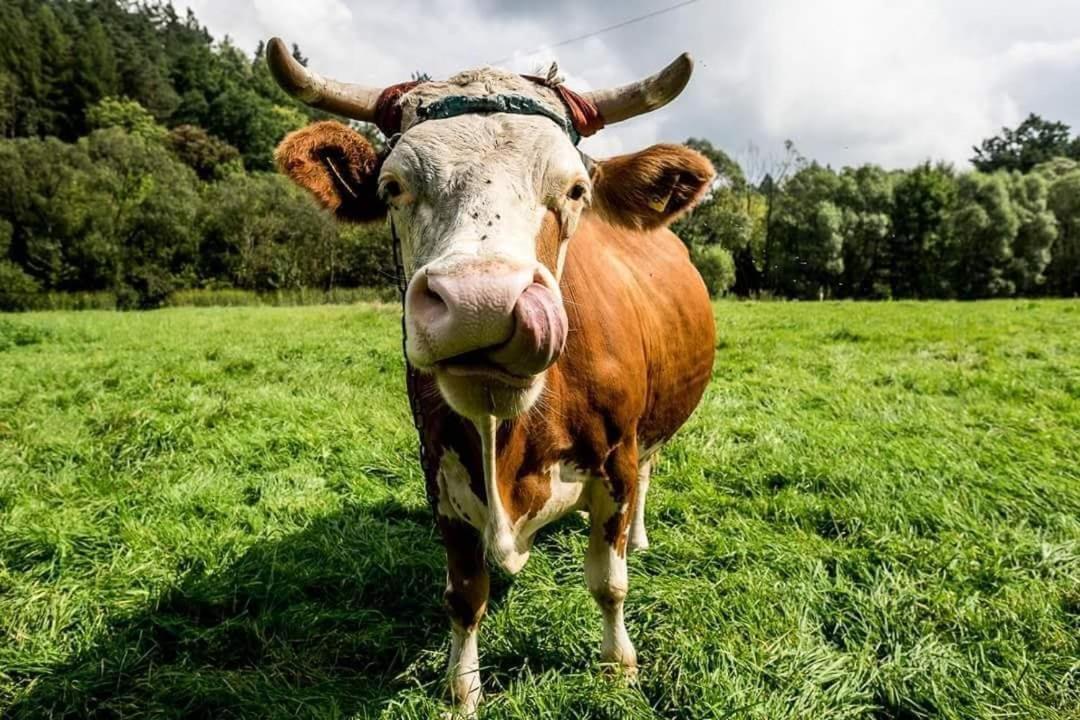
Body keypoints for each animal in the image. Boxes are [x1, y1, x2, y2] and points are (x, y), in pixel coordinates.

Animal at [265, 38, 712, 716]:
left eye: (575, 189)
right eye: (392, 186)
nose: (483, 303)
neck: (506, 433)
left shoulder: (616, 458)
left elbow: (608, 582)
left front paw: (617, 665)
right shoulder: (440, 474)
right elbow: (464, 595)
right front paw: (463, 688)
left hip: (651, 431)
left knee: (649, 474)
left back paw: (637, 535)